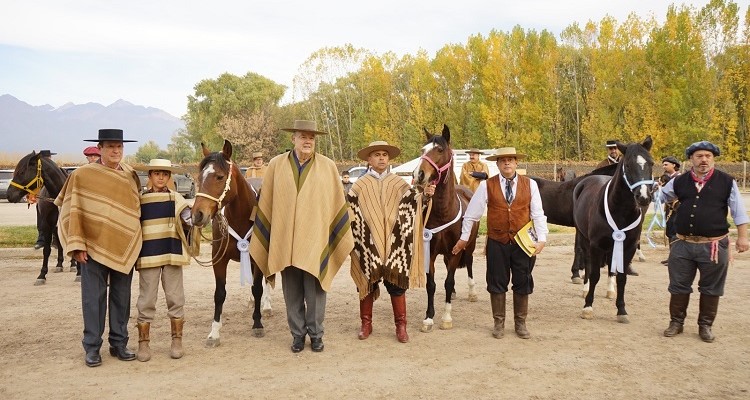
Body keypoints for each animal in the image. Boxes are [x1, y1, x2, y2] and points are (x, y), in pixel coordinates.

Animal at [6, 152, 80, 286]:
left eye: (22, 172)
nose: (9, 195)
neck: (57, 196)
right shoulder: (47, 225)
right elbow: (46, 250)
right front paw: (42, 275)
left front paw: (79, 274)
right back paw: (59, 264)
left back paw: (72, 265)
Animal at [191, 141, 274, 346]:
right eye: (200, 177)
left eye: (220, 176)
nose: (197, 215)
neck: (240, 218)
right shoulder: (219, 260)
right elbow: (219, 293)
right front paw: (214, 332)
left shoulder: (256, 258)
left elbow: (258, 288)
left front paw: (258, 324)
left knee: (268, 280)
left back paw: (267, 306)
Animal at [412, 125, 482, 332]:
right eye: (423, 149)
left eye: (440, 150)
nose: (418, 175)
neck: (444, 212)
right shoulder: (430, 250)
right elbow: (432, 284)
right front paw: (428, 318)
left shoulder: (454, 251)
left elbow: (448, 282)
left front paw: (446, 317)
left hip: (469, 246)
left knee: (469, 263)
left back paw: (472, 292)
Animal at [572, 136, 656, 324]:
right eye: (628, 165)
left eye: (651, 163)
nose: (644, 197)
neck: (620, 211)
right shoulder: (596, 245)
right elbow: (594, 274)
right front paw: (588, 307)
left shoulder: (628, 246)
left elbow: (622, 277)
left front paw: (621, 310)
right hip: (584, 239)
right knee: (587, 264)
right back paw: (585, 289)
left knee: (611, 267)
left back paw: (610, 291)